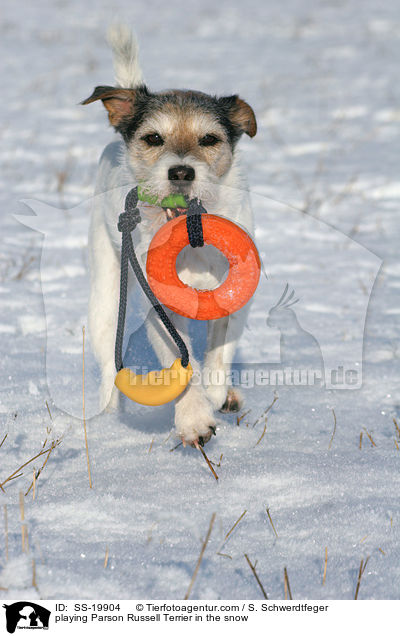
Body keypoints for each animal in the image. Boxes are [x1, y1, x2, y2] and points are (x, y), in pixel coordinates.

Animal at [82, 24, 256, 448]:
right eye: (153, 138)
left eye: (209, 139)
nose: (180, 172)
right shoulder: (158, 307)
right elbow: (182, 364)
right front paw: (194, 418)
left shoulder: (236, 296)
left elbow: (218, 353)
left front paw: (215, 392)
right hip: (106, 296)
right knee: (108, 368)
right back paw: (107, 424)